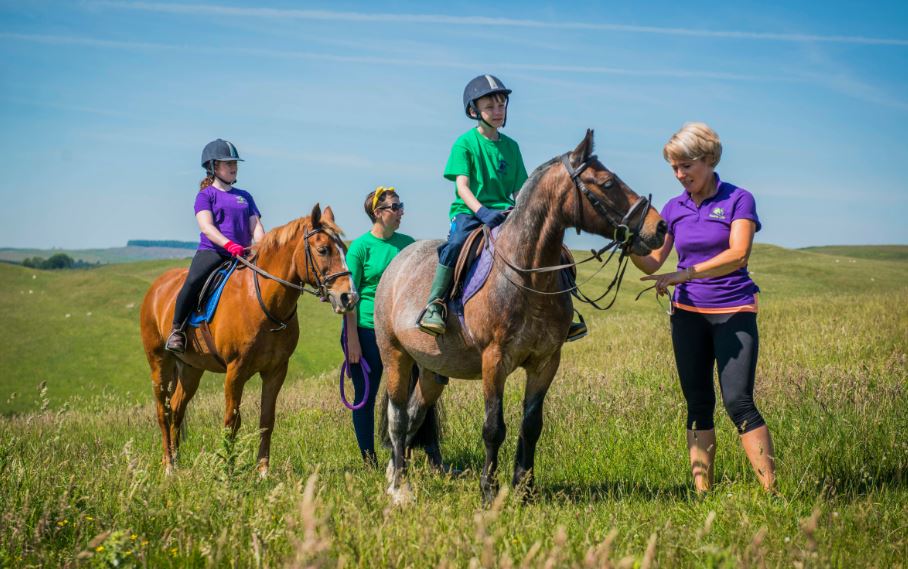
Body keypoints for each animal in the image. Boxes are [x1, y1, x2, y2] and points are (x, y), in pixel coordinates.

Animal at [140, 204, 356, 474]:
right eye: (323, 250)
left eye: (344, 249)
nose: (349, 297)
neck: (263, 302)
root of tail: (156, 288)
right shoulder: (236, 371)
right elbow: (232, 420)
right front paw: (228, 469)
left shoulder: (275, 371)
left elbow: (267, 419)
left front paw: (262, 471)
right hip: (159, 363)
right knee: (163, 411)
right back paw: (169, 465)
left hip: (191, 368)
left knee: (178, 409)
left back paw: (177, 462)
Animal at [374, 132, 668, 502]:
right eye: (607, 183)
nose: (660, 227)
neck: (527, 275)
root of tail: (397, 262)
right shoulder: (494, 360)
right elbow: (493, 427)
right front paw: (489, 490)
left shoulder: (546, 361)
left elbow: (531, 425)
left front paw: (524, 488)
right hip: (395, 355)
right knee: (397, 418)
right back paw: (399, 488)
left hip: (431, 371)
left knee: (413, 415)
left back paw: (394, 474)